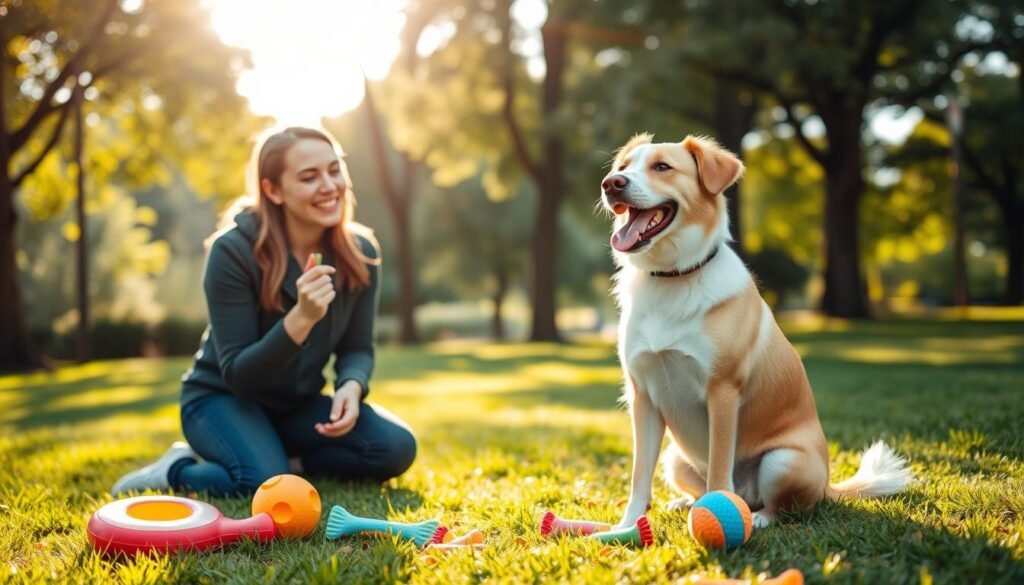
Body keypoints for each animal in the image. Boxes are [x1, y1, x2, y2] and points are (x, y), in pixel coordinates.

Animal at [598, 134, 913, 532]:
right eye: (623, 168)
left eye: (662, 167)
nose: (611, 184)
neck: (672, 277)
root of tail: (829, 485)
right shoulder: (642, 398)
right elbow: (640, 475)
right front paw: (627, 526)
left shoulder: (723, 392)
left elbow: (719, 470)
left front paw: (715, 518)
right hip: (676, 458)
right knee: (706, 487)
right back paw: (686, 502)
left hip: (784, 461)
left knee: (784, 507)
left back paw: (758, 518)